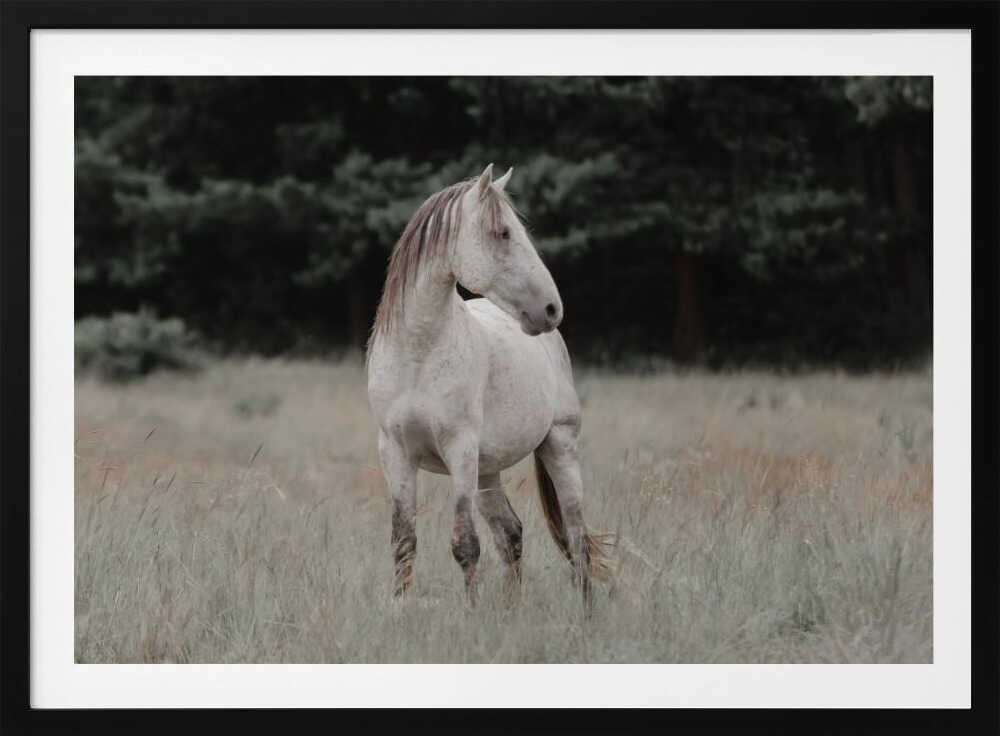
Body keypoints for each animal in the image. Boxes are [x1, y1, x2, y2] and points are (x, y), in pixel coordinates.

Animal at [366, 164, 613, 607]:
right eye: (503, 233)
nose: (551, 309)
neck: (417, 355)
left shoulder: (460, 448)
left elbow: (465, 544)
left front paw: (471, 613)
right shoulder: (394, 452)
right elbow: (403, 541)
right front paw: (401, 608)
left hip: (559, 446)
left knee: (575, 535)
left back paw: (586, 612)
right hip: (488, 471)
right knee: (511, 533)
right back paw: (511, 609)